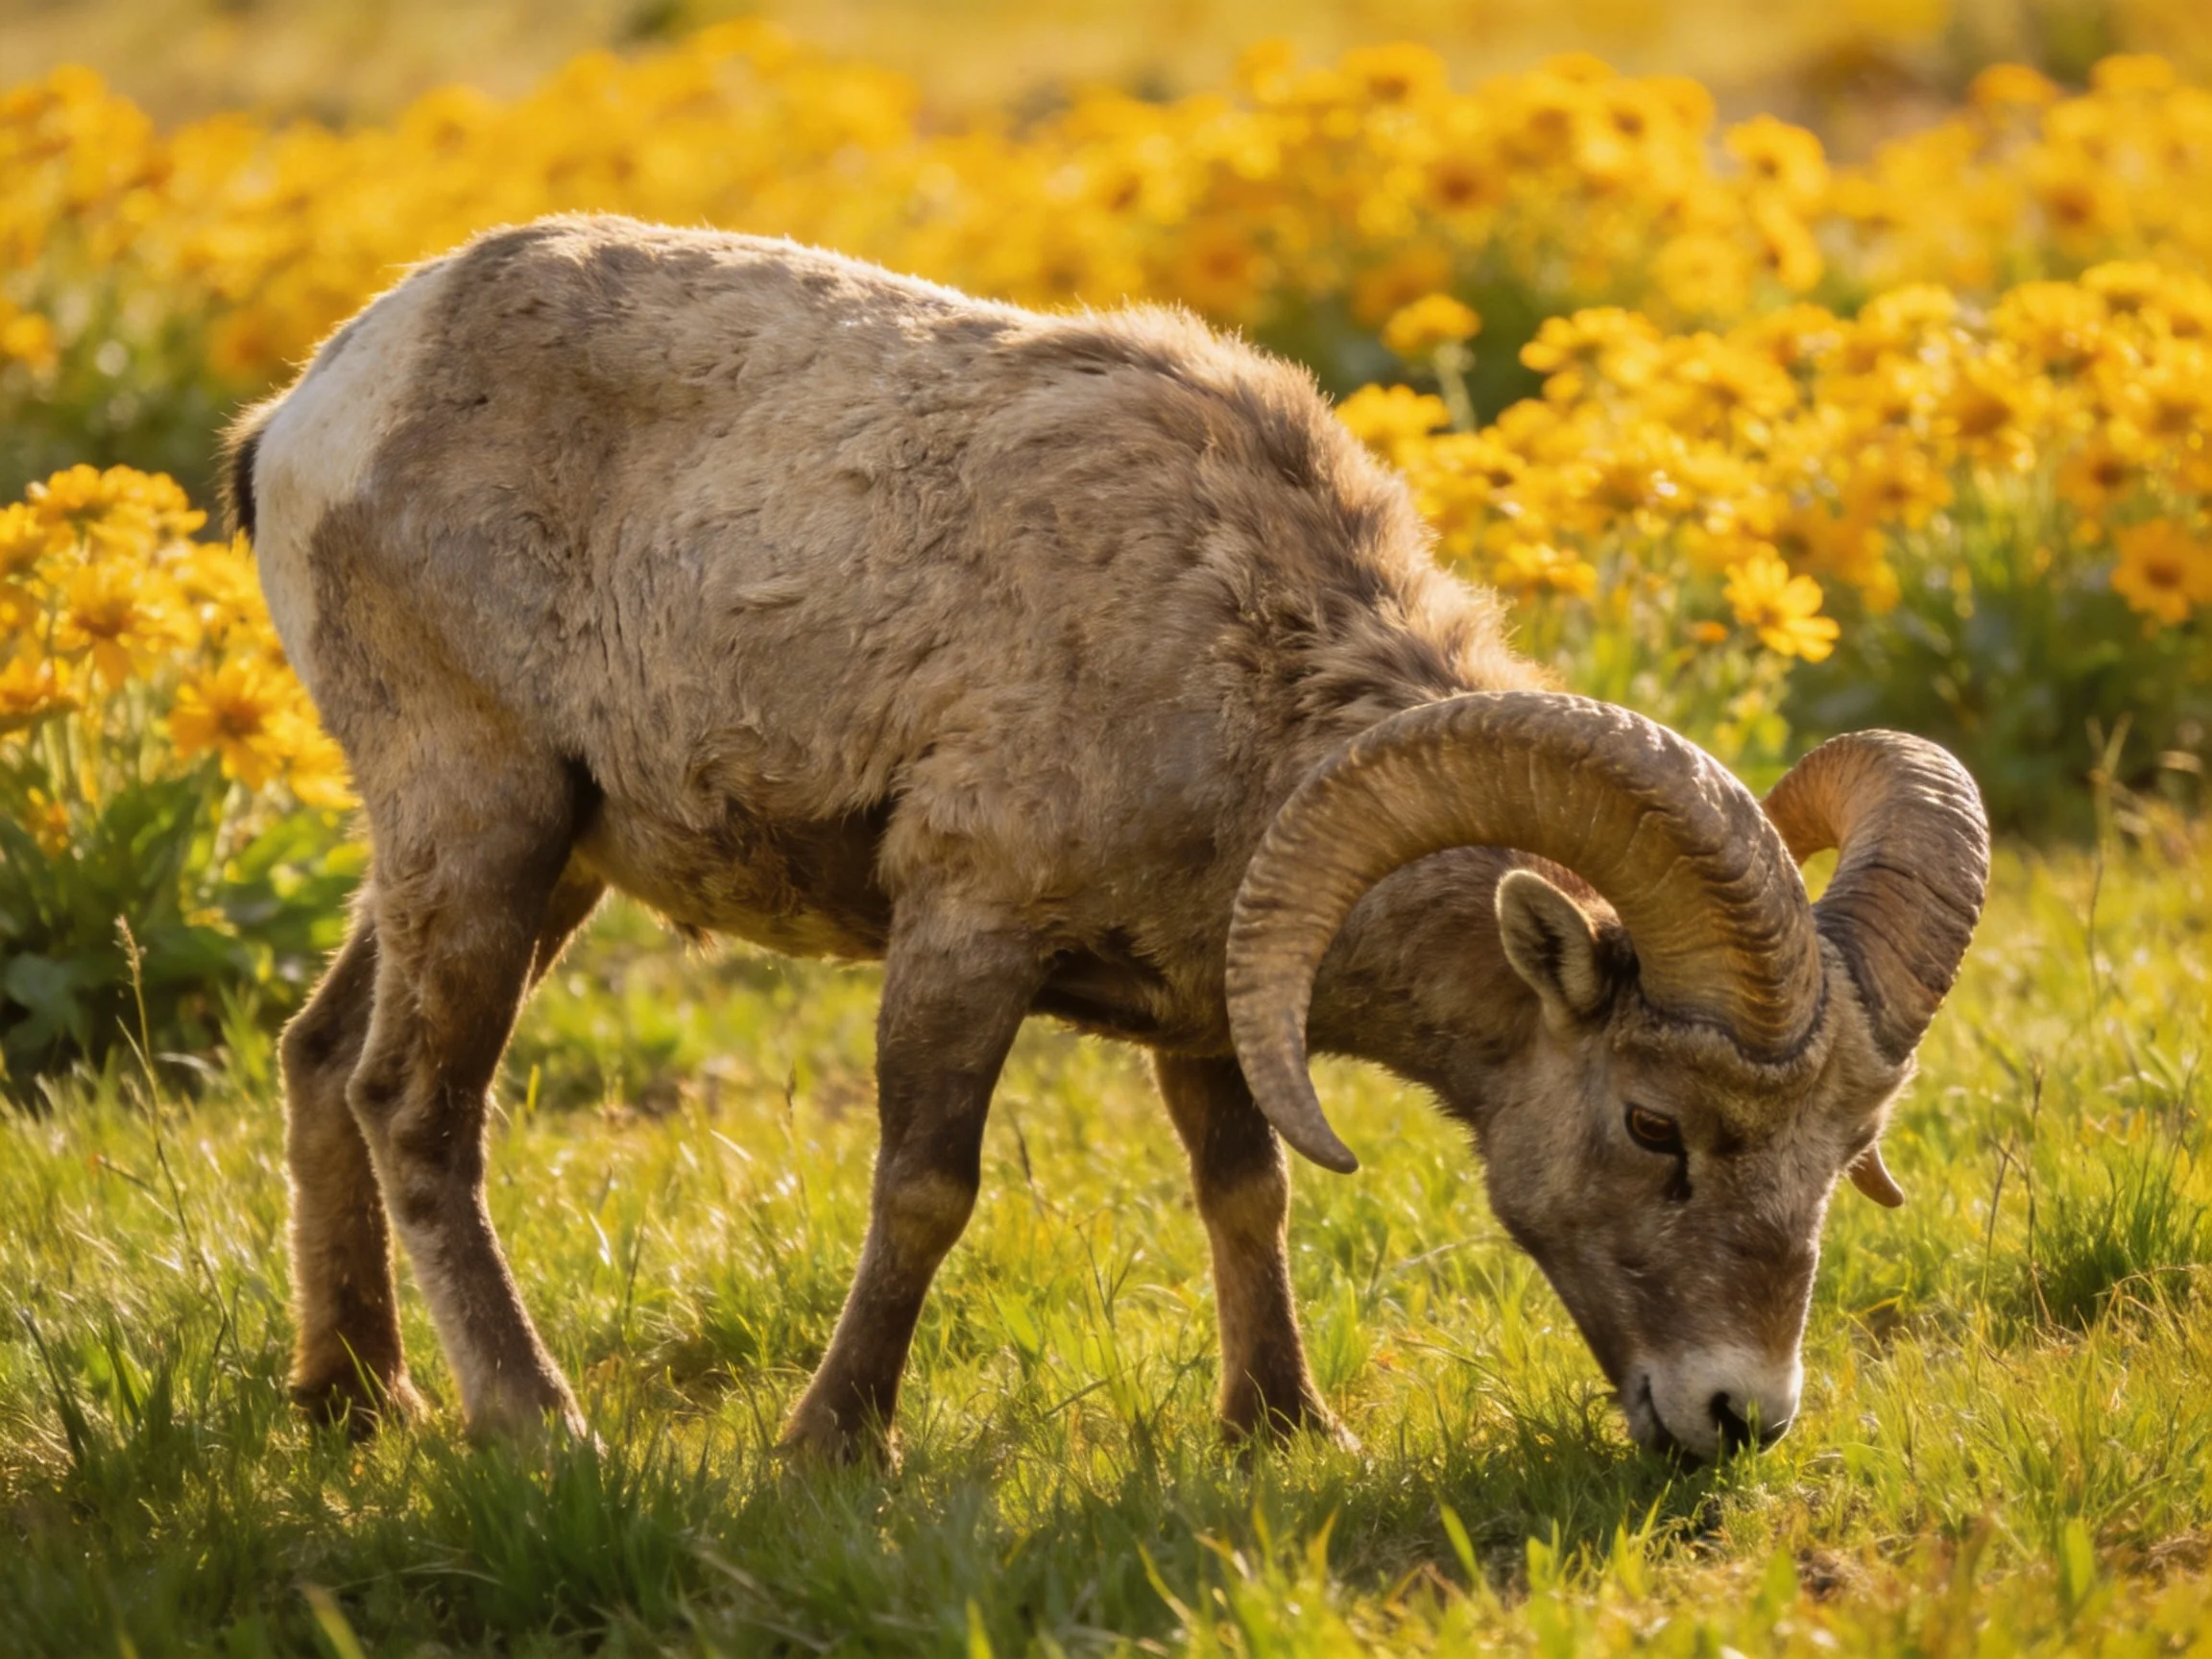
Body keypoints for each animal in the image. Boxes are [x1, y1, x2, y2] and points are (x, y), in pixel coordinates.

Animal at [229, 213, 1989, 1464]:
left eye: (1846, 1147)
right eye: (1651, 1126)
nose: (1734, 1422)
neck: (1225, 646)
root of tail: (313, 409)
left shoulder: (1208, 998)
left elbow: (1246, 1193)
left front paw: (1283, 1425)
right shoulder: (964, 929)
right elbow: (925, 1190)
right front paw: (830, 1447)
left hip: (535, 864)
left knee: (322, 1059)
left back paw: (357, 1398)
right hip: (482, 817)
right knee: (415, 1105)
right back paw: (538, 1427)